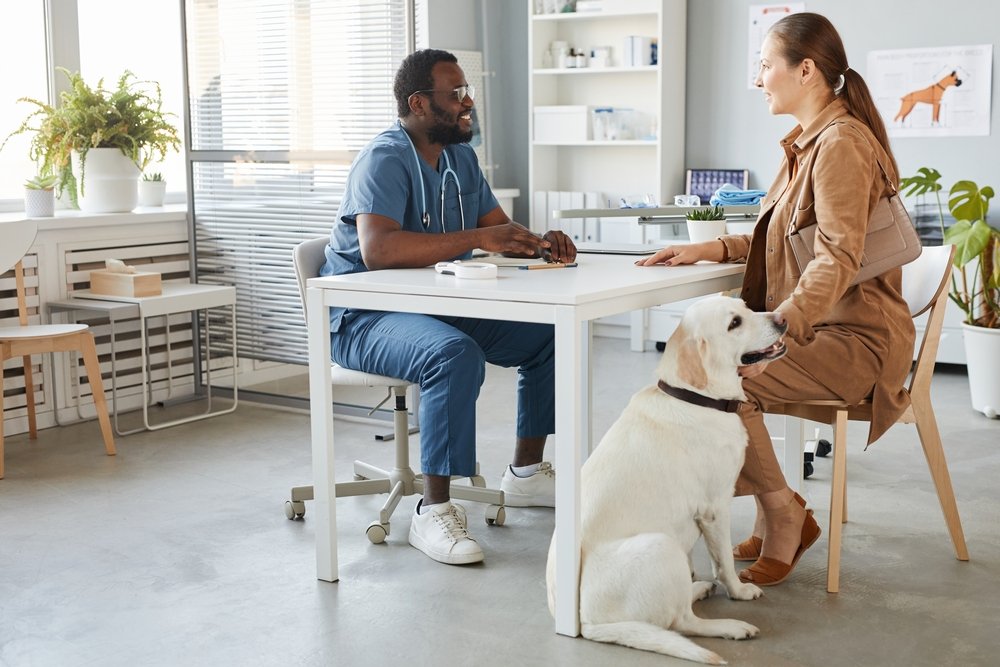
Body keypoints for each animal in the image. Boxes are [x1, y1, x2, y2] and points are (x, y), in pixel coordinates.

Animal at [548, 296, 788, 664]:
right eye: (734, 323)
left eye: (746, 306)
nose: (782, 319)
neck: (696, 398)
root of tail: (585, 625)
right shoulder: (715, 507)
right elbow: (724, 562)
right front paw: (738, 590)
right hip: (660, 545)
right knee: (682, 623)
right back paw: (731, 624)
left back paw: (697, 588)